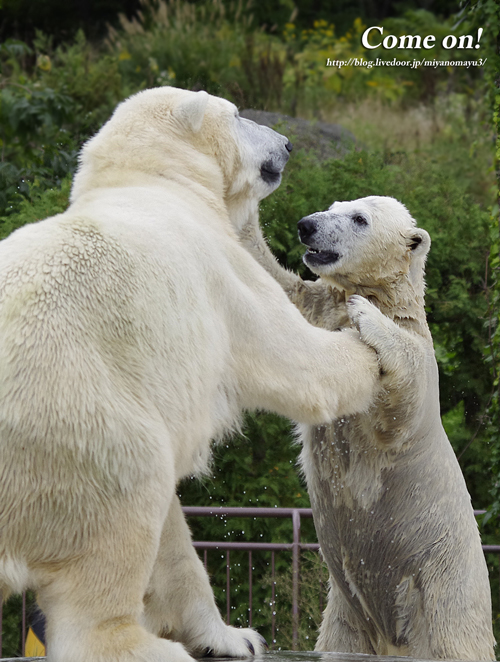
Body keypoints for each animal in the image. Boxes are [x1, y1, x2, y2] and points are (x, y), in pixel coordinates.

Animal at [0, 88, 378, 662]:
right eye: (240, 114)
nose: (288, 143)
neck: (157, 181)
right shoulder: (219, 271)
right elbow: (294, 358)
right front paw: (382, 347)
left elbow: (176, 544)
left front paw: (235, 636)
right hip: (79, 422)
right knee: (125, 510)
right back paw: (143, 644)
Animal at [243, 195, 496, 660]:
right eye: (332, 206)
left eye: (359, 218)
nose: (307, 226)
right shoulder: (319, 309)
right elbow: (279, 289)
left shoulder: (420, 374)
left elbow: (403, 394)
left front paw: (365, 312)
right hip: (345, 614)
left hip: (441, 592)